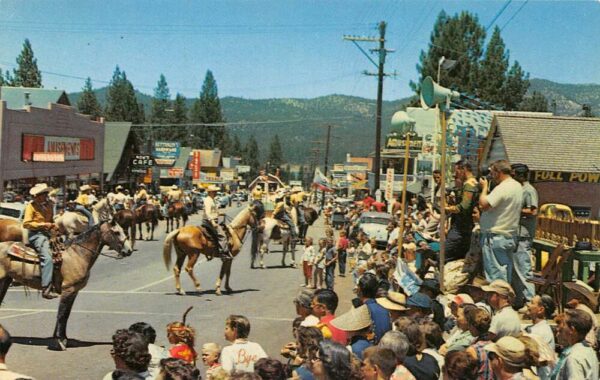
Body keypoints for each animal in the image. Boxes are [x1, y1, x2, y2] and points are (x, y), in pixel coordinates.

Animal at [0, 220, 132, 350]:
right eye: (116, 232)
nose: (129, 250)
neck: (77, 254)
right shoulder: (68, 290)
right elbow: (62, 314)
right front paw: (60, 341)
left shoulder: (74, 291)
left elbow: (66, 314)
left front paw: (62, 338)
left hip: (5, 281)